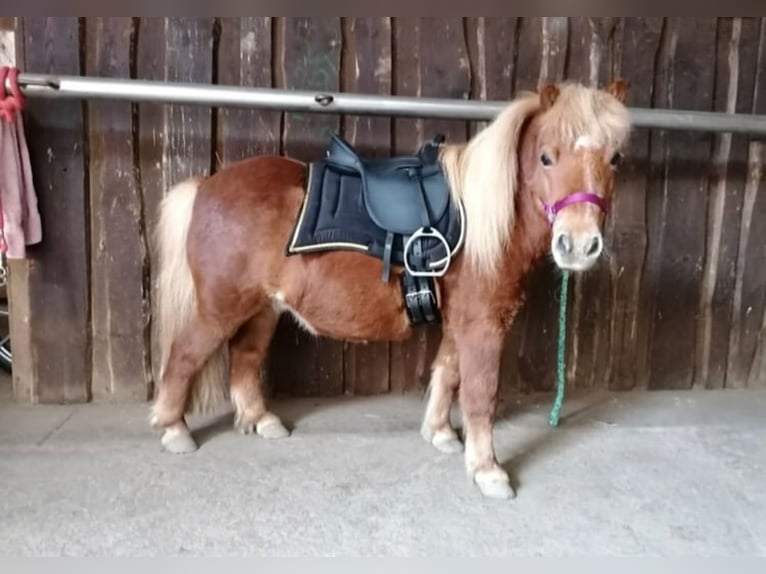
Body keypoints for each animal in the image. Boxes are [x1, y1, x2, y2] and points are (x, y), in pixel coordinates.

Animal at [149, 79, 632, 500]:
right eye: (547, 158)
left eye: (615, 158)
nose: (578, 244)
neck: (480, 222)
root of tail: (205, 186)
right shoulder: (482, 324)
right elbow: (481, 393)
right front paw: (488, 471)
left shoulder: (460, 321)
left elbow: (447, 372)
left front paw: (440, 433)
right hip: (221, 308)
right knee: (184, 355)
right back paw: (174, 429)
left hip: (263, 309)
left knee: (245, 359)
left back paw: (260, 419)